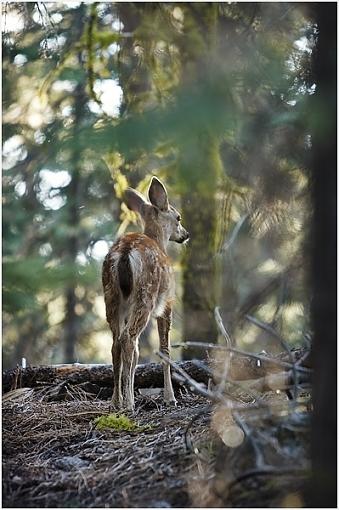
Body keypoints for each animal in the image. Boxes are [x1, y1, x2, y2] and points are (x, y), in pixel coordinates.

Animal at [102, 175, 190, 410]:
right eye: (178, 217)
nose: (186, 234)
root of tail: (125, 253)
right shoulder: (167, 303)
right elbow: (165, 350)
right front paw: (170, 397)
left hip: (111, 296)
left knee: (117, 342)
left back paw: (116, 401)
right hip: (146, 295)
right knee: (127, 339)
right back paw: (129, 403)